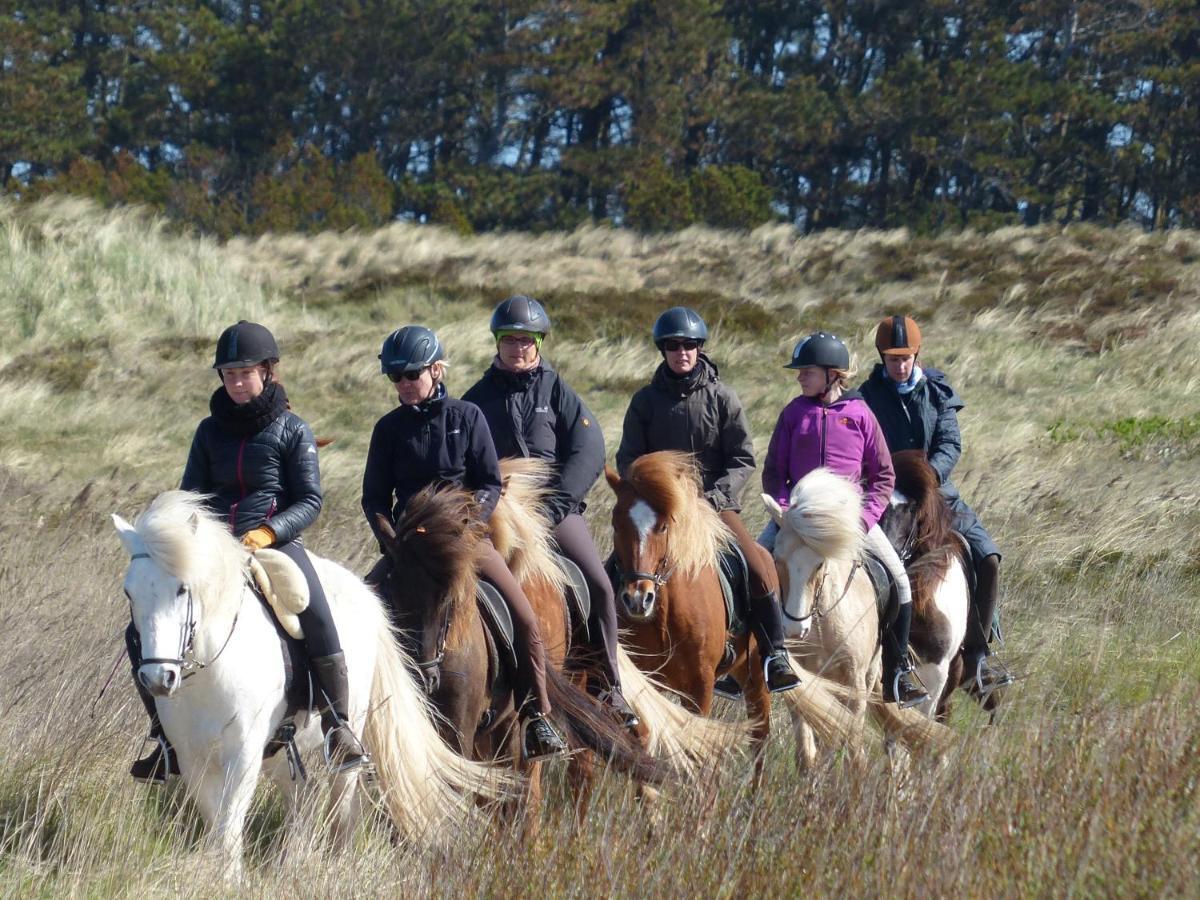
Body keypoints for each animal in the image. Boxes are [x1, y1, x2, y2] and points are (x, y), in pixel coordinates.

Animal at [117, 494, 516, 883]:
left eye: (182, 588)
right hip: (279, 747)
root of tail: (365, 595)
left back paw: (336, 865)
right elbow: (217, 821)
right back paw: (289, 863)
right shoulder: (191, 758)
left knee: (342, 800)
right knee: (303, 798)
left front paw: (227, 883)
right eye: (129, 593)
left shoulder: (243, 755)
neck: (211, 669)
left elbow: (230, 823)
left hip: (346, 733)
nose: (158, 678)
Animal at [763, 468, 960, 772]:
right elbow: (808, 745)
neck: (823, 623)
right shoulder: (803, 680)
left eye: (819, 564)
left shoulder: (854, 680)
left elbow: (852, 741)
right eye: (777, 559)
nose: (795, 629)